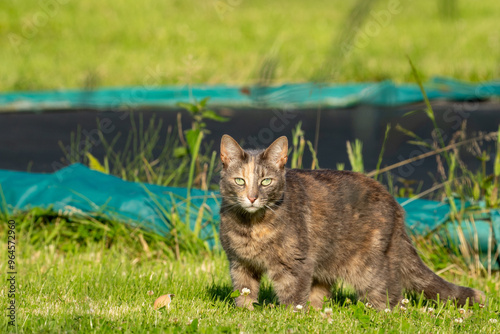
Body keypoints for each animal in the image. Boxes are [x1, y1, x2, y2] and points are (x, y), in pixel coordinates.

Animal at [219, 134, 484, 310]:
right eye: (240, 181)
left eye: (266, 182)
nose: (252, 197)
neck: (252, 226)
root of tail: (393, 202)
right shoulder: (239, 264)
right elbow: (244, 292)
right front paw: (246, 314)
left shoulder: (294, 265)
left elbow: (292, 297)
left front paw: (289, 319)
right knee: (321, 292)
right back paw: (319, 313)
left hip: (369, 266)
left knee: (391, 295)